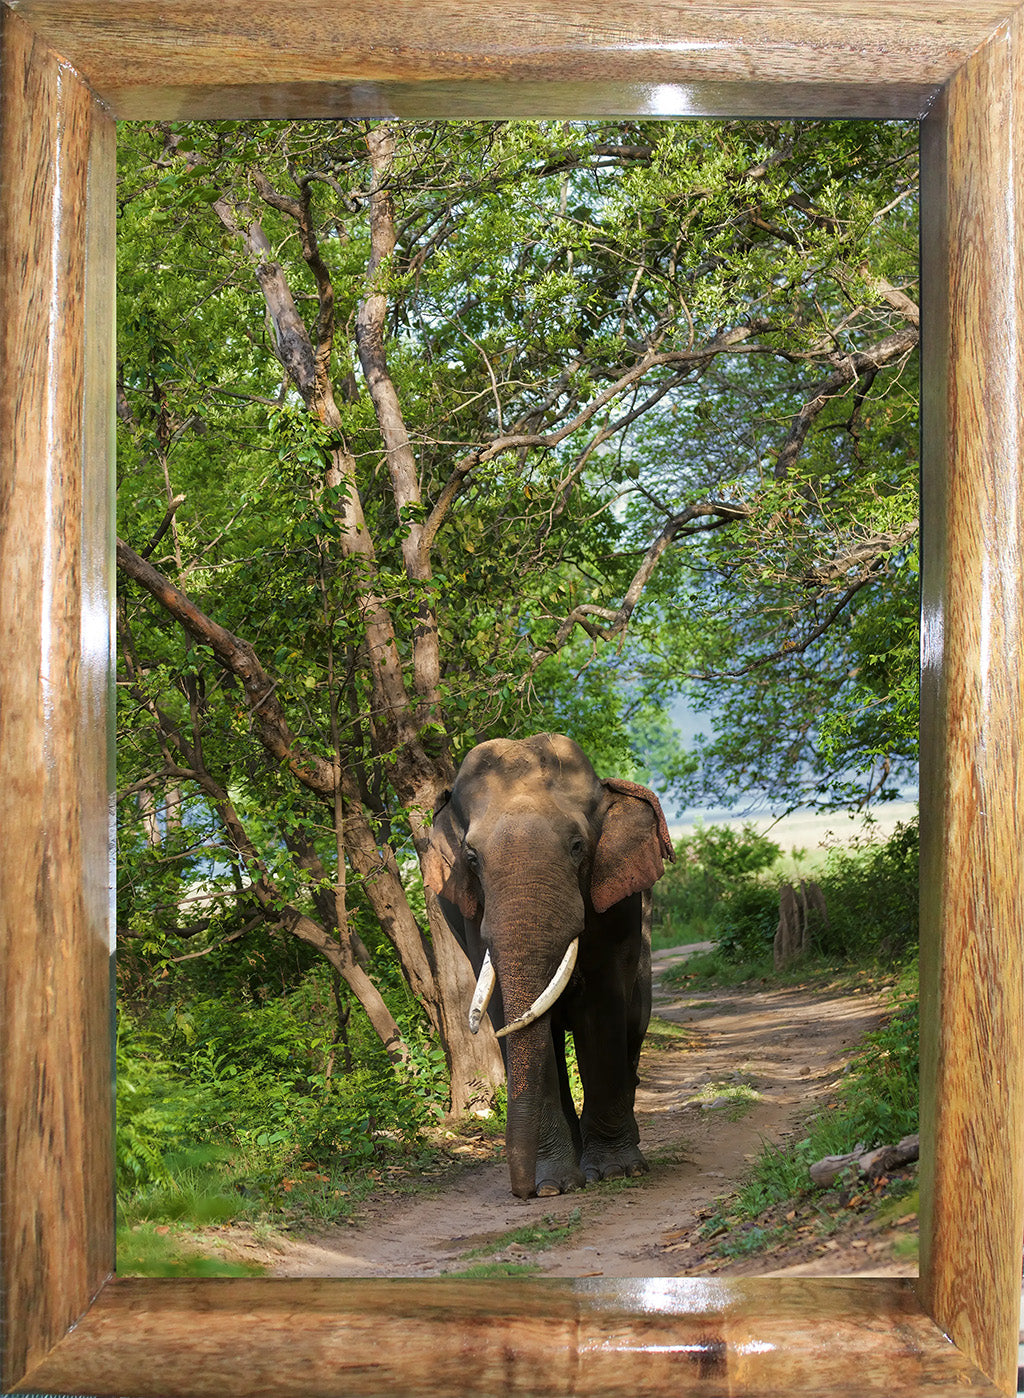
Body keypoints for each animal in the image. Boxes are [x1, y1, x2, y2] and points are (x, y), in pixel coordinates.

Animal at [422, 732, 674, 1199]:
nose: (521, 1191)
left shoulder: (618, 906)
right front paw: (554, 1185)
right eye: (472, 858)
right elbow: (506, 1011)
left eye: (577, 847)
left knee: (634, 1020)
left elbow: (604, 1005)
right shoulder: (472, 917)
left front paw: (615, 1172)